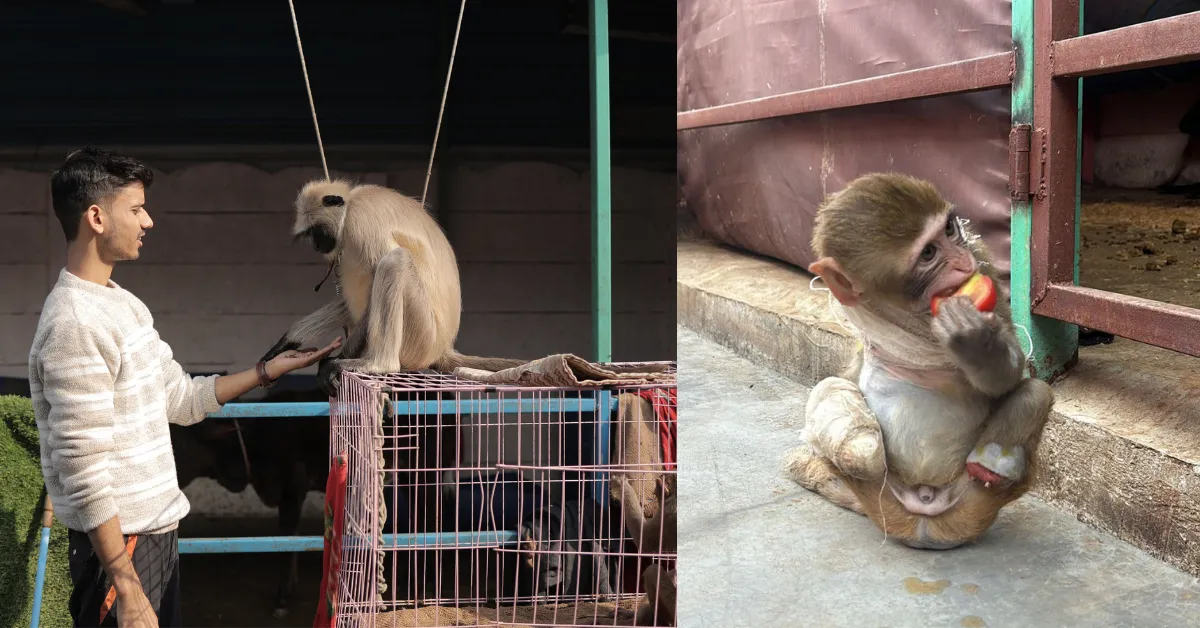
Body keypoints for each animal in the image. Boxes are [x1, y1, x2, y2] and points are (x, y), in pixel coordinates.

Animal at [258, 179, 528, 395]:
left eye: (318, 231)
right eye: (310, 235)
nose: (316, 244)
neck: (352, 202)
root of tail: (442, 347)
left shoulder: (361, 222)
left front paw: (336, 360)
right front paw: (289, 340)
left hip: (423, 336)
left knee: (394, 261)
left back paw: (377, 364)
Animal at [612, 473, 677, 626]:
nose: (656, 496)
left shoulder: (669, 510)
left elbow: (645, 541)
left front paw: (622, 486)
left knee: (652, 571)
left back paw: (659, 621)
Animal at [782, 172, 1054, 550]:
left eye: (950, 229)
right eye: (928, 253)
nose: (962, 262)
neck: (914, 317)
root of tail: (924, 509)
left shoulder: (983, 259)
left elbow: (1011, 376)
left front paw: (978, 344)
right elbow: (846, 374)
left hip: (966, 501)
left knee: (1035, 393)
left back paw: (992, 466)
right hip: (884, 497)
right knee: (832, 390)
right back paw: (860, 452)